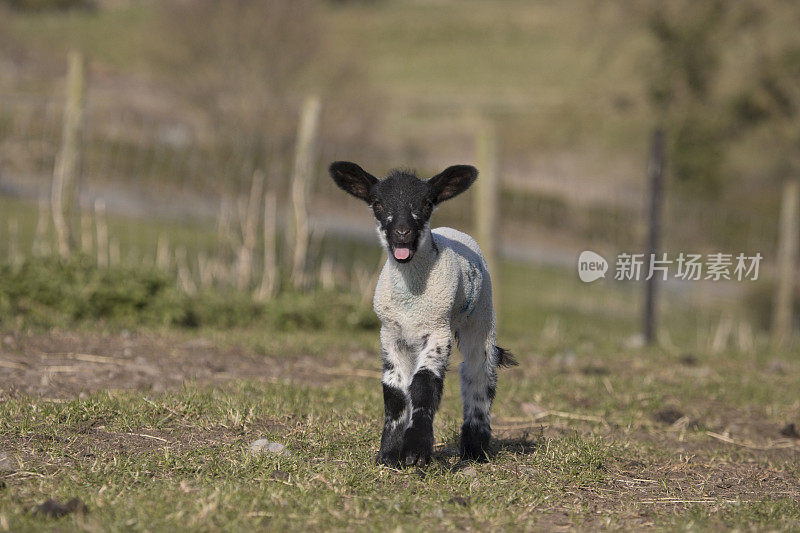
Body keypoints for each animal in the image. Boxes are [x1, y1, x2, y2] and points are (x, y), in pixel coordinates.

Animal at [328, 161, 516, 466]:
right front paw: (388, 454)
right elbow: (394, 392)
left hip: (482, 315)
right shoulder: (390, 333)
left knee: (478, 373)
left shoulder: (437, 330)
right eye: (377, 203)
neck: (411, 301)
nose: (402, 232)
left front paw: (416, 452)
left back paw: (475, 448)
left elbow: (424, 385)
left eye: (427, 203)